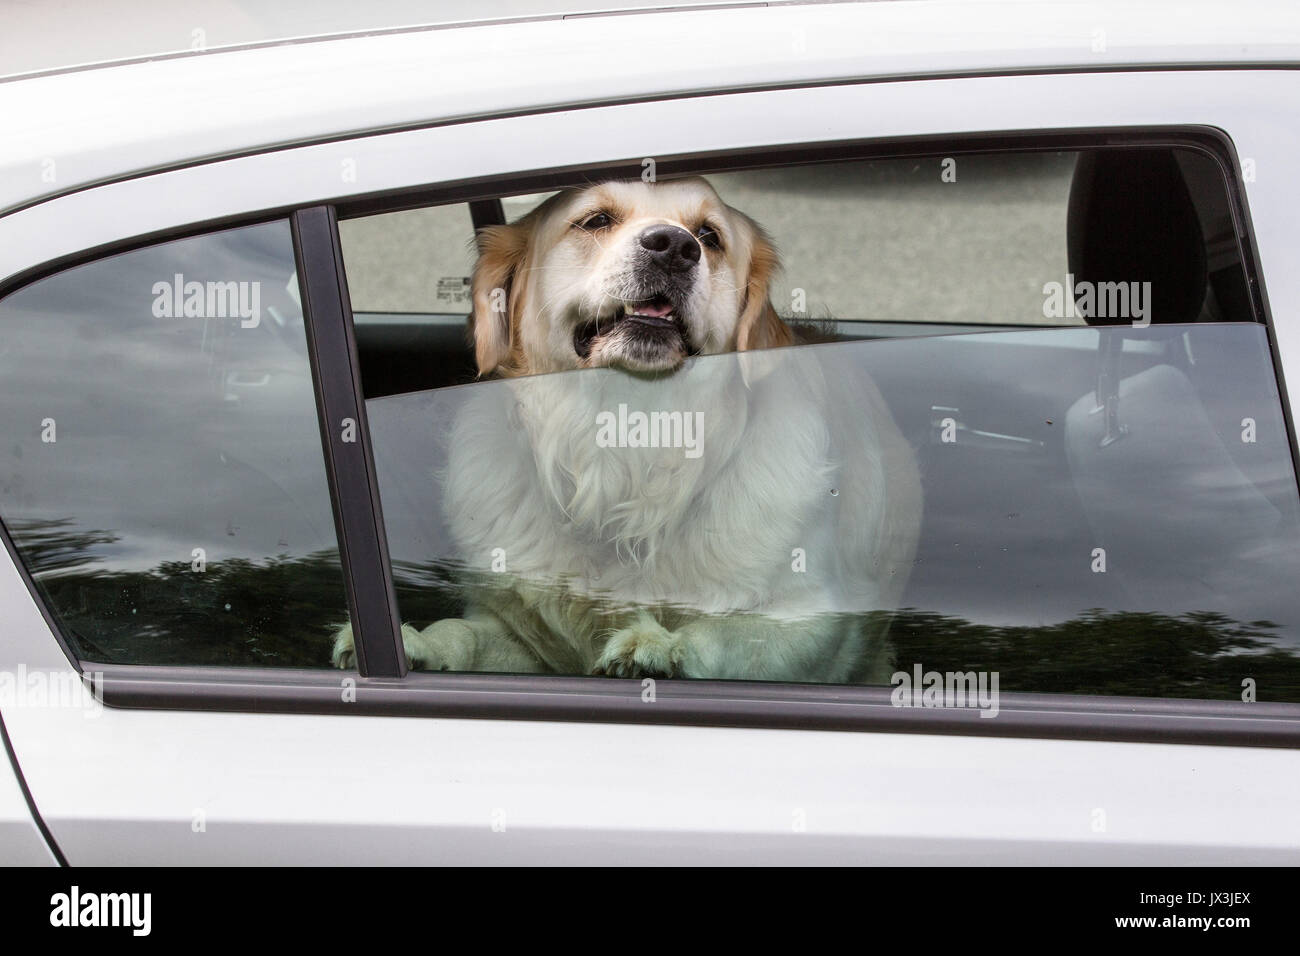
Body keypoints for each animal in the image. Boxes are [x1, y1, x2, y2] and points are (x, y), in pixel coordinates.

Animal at [335, 171, 925, 681]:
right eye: (595, 220)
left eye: (709, 236)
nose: (673, 247)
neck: (624, 447)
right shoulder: (520, 639)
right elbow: (466, 633)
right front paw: (416, 643)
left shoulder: (817, 623)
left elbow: (730, 635)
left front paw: (659, 646)